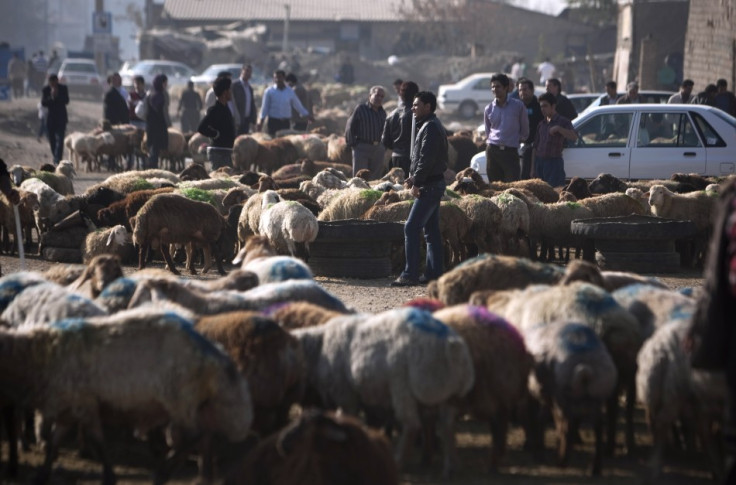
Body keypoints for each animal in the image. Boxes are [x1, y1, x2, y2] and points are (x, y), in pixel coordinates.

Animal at [0, 308, 253, 484]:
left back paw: (162, 473)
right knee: (204, 438)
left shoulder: (84, 405)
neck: (36, 355)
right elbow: (54, 444)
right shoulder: (69, 408)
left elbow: (97, 442)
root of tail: (216, 354)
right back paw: (200, 476)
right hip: (195, 405)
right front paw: (42, 475)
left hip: (181, 400)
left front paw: (109, 476)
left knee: (194, 436)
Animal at [290, 306, 474, 472]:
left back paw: (400, 460)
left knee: (412, 425)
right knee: (447, 424)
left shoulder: (346, 394)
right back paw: (450, 465)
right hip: (445, 391)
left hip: (402, 387)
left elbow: (347, 417)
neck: (318, 350)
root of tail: (453, 347)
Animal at [528, 320, 620, 474]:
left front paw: (538, 451)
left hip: (564, 398)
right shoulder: (548, 396)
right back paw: (595, 467)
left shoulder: (549, 396)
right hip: (596, 397)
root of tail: (586, 371)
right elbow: (543, 417)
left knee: (566, 427)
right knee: (598, 427)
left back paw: (562, 460)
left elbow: (542, 418)